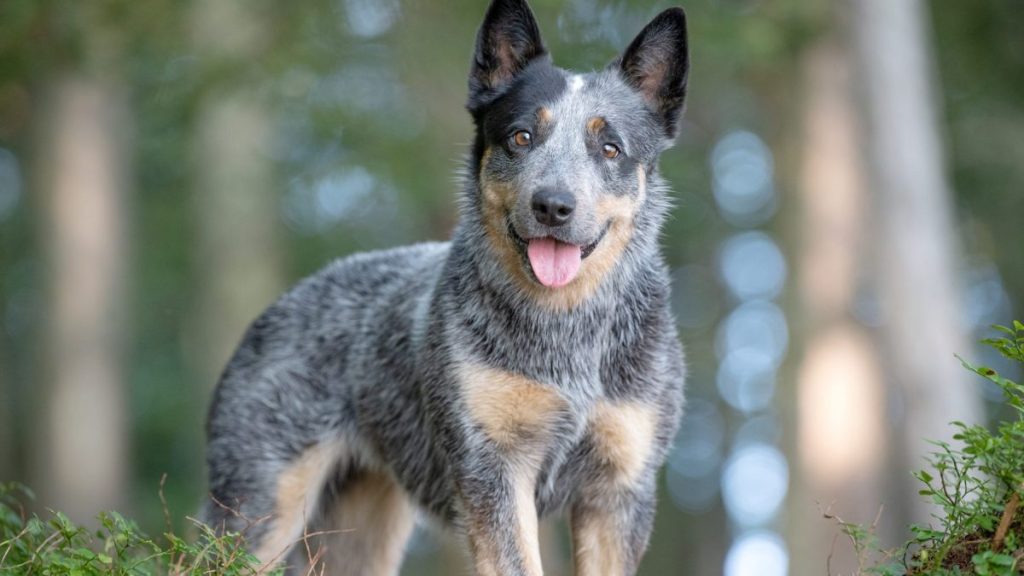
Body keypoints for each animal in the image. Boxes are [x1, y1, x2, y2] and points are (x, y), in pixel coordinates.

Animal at [201, 0, 688, 569]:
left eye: (610, 148)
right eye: (521, 137)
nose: (552, 205)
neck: (568, 331)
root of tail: (276, 307)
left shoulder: (620, 490)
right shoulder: (491, 466)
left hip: (358, 533)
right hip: (259, 510)